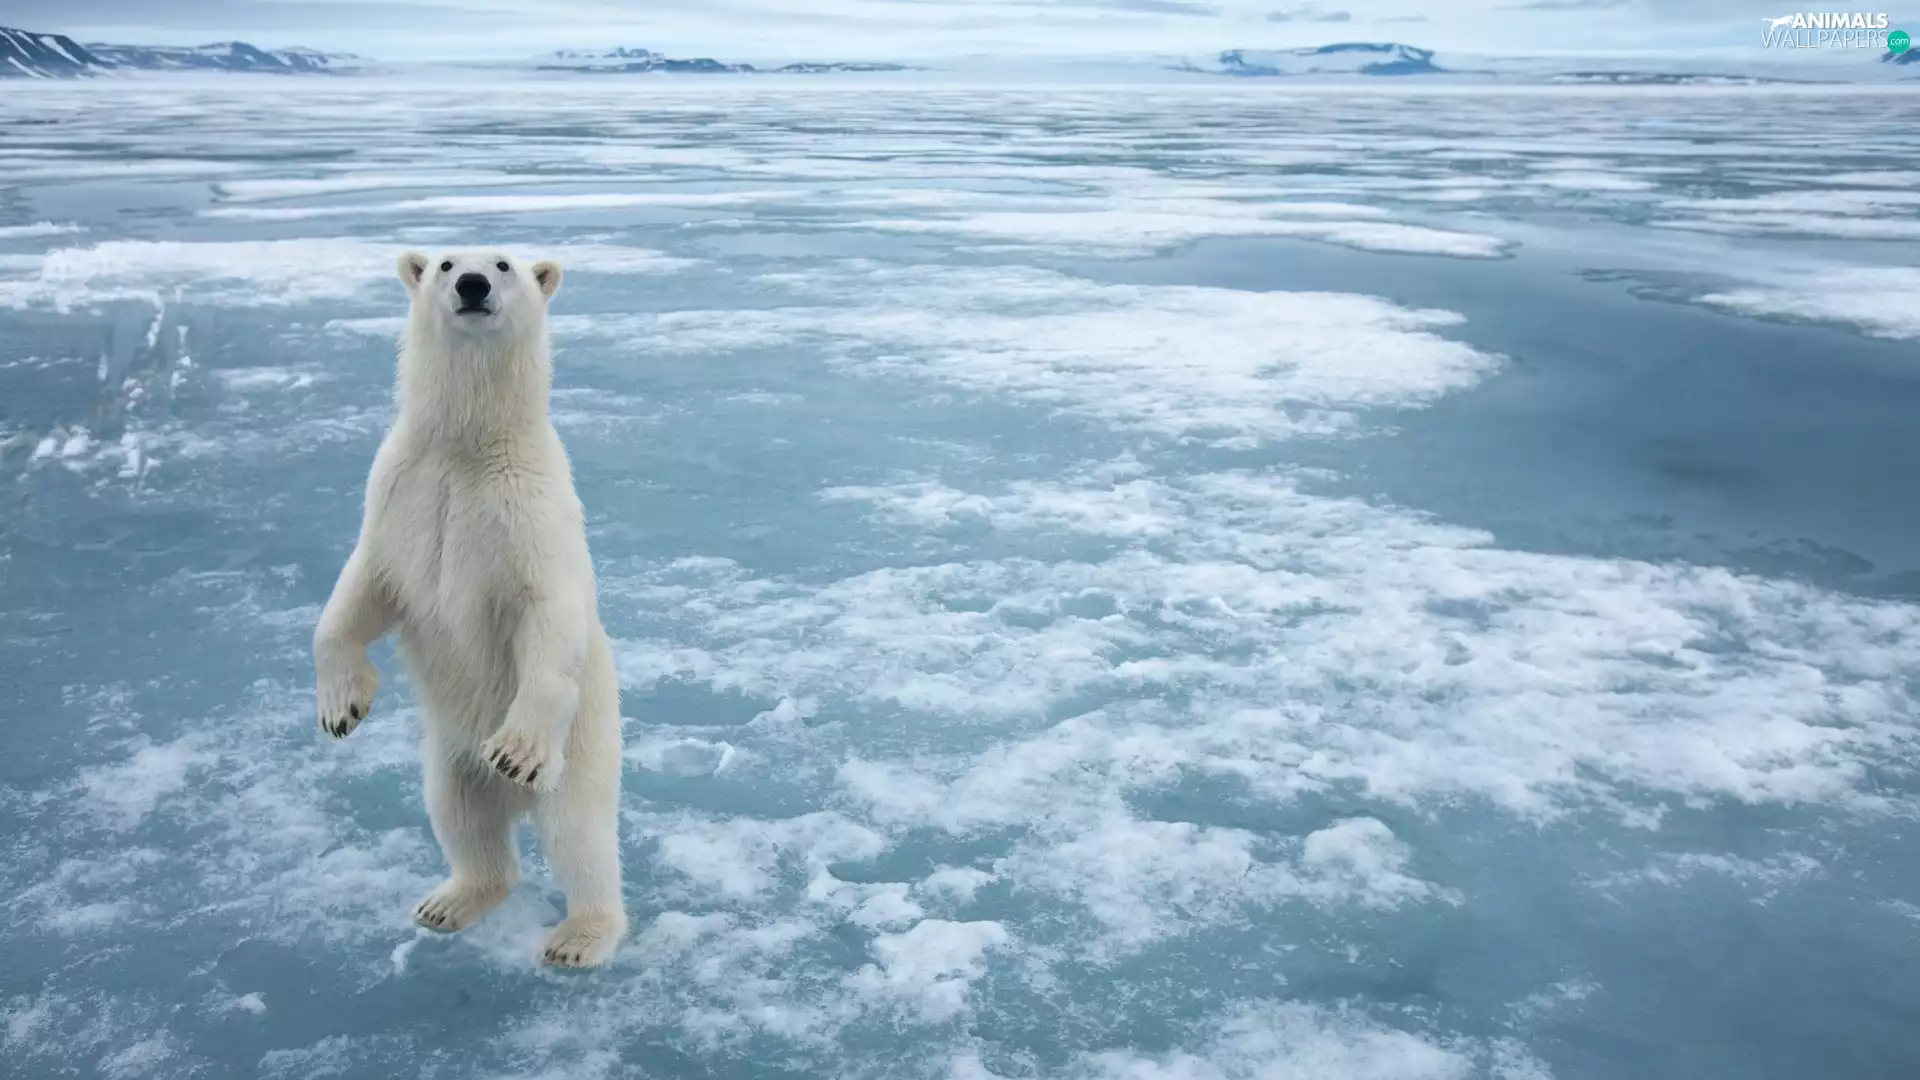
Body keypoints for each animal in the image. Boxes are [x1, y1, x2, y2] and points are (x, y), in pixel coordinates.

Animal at [311, 249, 627, 968]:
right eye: (445, 261)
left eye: (505, 263)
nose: (473, 285)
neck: (467, 445)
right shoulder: (400, 494)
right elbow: (359, 593)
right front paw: (342, 707)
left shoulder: (529, 511)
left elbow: (547, 613)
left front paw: (514, 749)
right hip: (448, 756)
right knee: (460, 817)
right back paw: (449, 901)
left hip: (583, 748)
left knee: (580, 834)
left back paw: (580, 936)